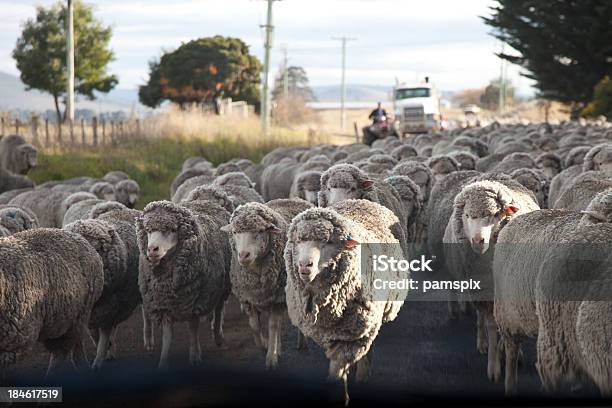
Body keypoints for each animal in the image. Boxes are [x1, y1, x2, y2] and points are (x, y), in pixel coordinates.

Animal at [137, 201, 231, 366]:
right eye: (148, 231)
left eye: (172, 229)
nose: (152, 249)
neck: (167, 284)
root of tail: (206, 202)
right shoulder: (164, 305)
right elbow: (167, 336)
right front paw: (163, 362)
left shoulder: (194, 302)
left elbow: (193, 329)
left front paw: (194, 356)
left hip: (222, 285)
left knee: (219, 309)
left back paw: (218, 336)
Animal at [220, 199, 314, 368]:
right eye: (235, 232)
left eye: (260, 231)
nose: (243, 255)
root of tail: (296, 199)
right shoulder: (248, 298)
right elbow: (255, 326)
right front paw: (264, 345)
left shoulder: (278, 299)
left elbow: (273, 326)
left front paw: (271, 357)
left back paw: (301, 342)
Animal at [286, 199, 408, 404]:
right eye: (298, 241)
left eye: (328, 242)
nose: (305, 265)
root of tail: (360, 200)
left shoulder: (356, 333)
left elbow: (338, 367)